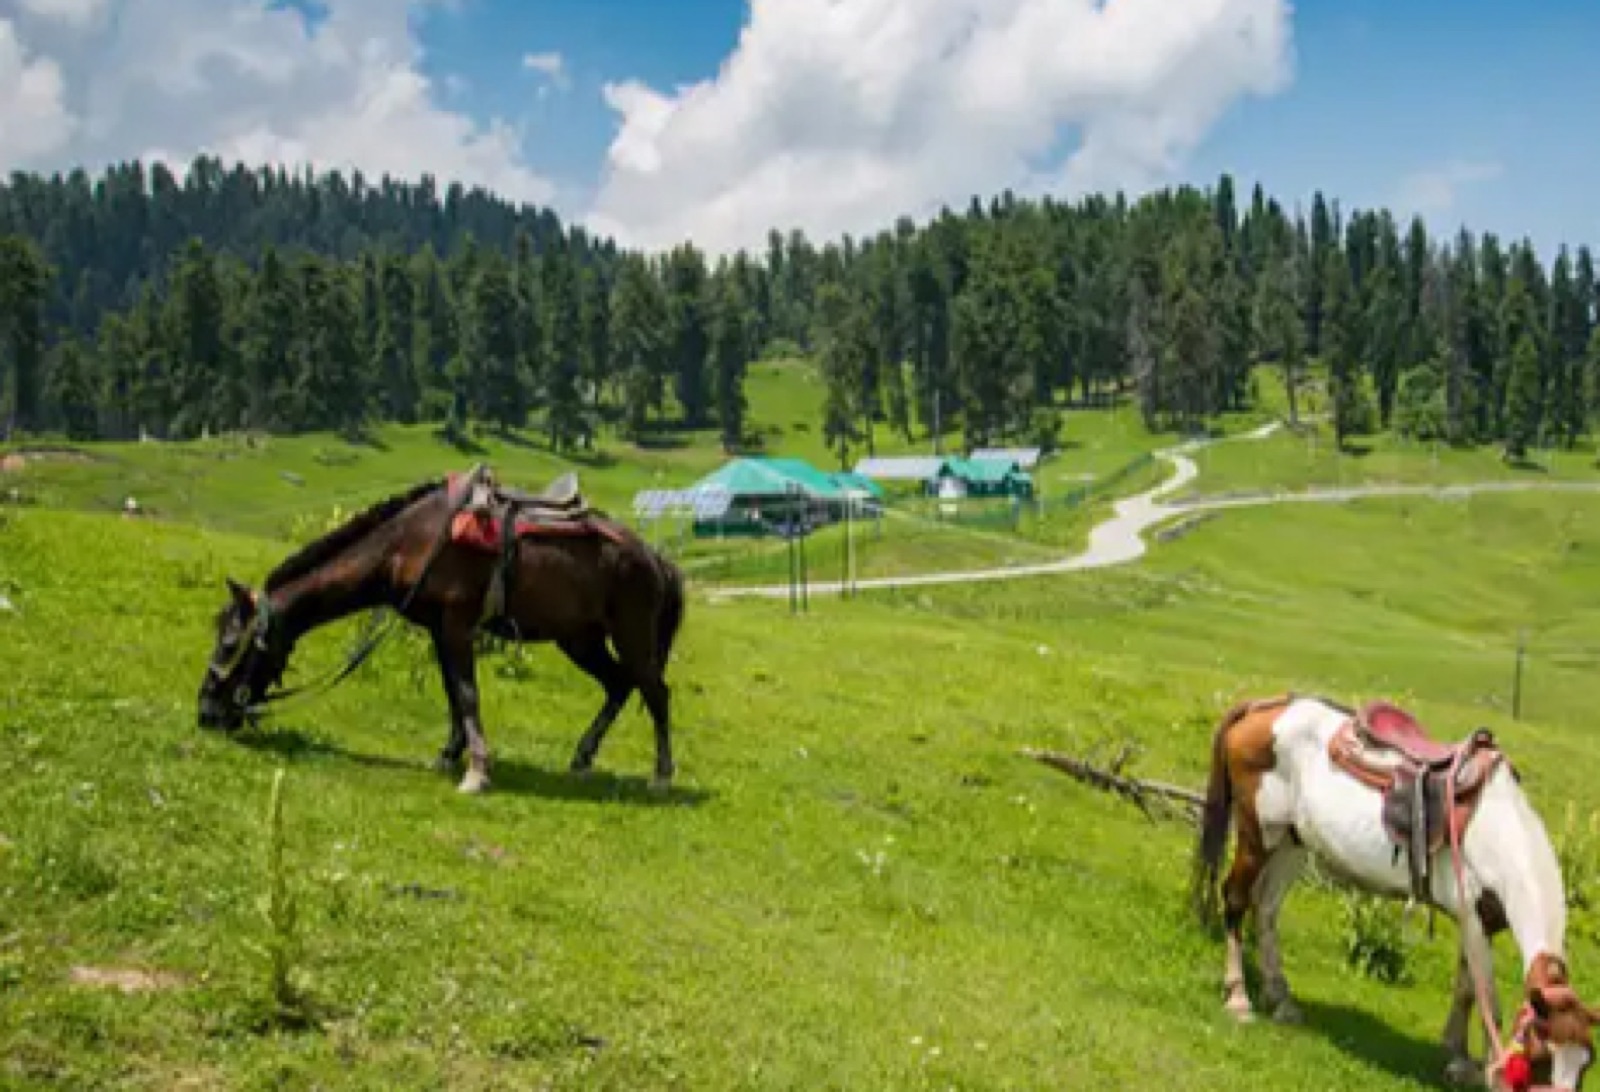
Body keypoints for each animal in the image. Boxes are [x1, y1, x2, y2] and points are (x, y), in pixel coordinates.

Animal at [195, 468, 687, 796]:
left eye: (229, 643)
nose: (206, 713)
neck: (408, 541)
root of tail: (654, 557)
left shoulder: (456, 624)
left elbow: (467, 695)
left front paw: (477, 771)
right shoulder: (438, 629)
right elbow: (453, 692)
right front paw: (450, 755)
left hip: (631, 635)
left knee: (655, 692)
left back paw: (661, 777)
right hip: (580, 639)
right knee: (619, 685)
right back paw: (583, 758)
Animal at [1190, 693, 1600, 1091]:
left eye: (1584, 1066)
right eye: (1542, 1060)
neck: (1498, 832)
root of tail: (1265, 707)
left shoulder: (1478, 923)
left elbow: (1466, 987)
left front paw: (1457, 1056)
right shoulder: (1472, 918)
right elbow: (1487, 1001)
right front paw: (1485, 1068)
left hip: (1291, 843)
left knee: (1266, 907)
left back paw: (1280, 999)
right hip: (1257, 835)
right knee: (1235, 899)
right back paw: (1239, 998)